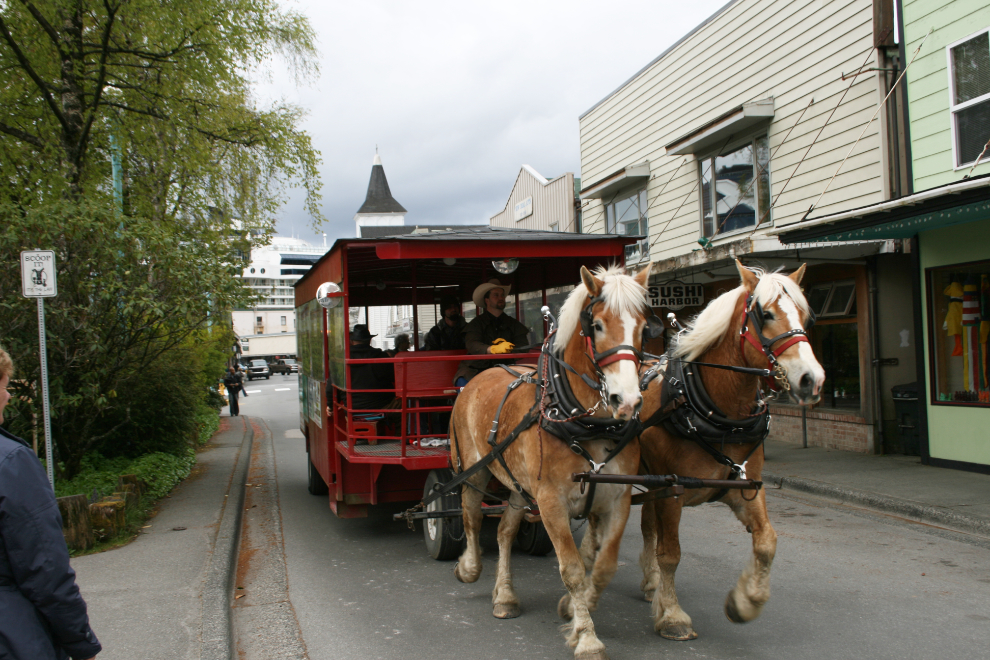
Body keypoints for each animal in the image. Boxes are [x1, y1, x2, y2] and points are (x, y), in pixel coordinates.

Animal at [454, 262, 656, 660]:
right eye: (597, 325)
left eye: (643, 327)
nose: (627, 401)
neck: (586, 423)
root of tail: (485, 371)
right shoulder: (550, 501)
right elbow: (573, 568)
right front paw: (587, 636)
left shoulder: (617, 499)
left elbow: (604, 565)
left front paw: (576, 610)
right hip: (475, 471)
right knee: (471, 515)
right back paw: (469, 566)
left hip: (519, 485)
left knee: (504, 531)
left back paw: (505, 595)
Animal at [636, 262, 828, 640]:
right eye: (765, 314)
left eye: (806, 315)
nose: (811, 379)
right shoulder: (672, 490)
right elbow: (671, 553)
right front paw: (673, 616)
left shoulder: (744, 486)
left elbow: (767, 541)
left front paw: (745, 602)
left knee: (647, 525)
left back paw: (650, 584)